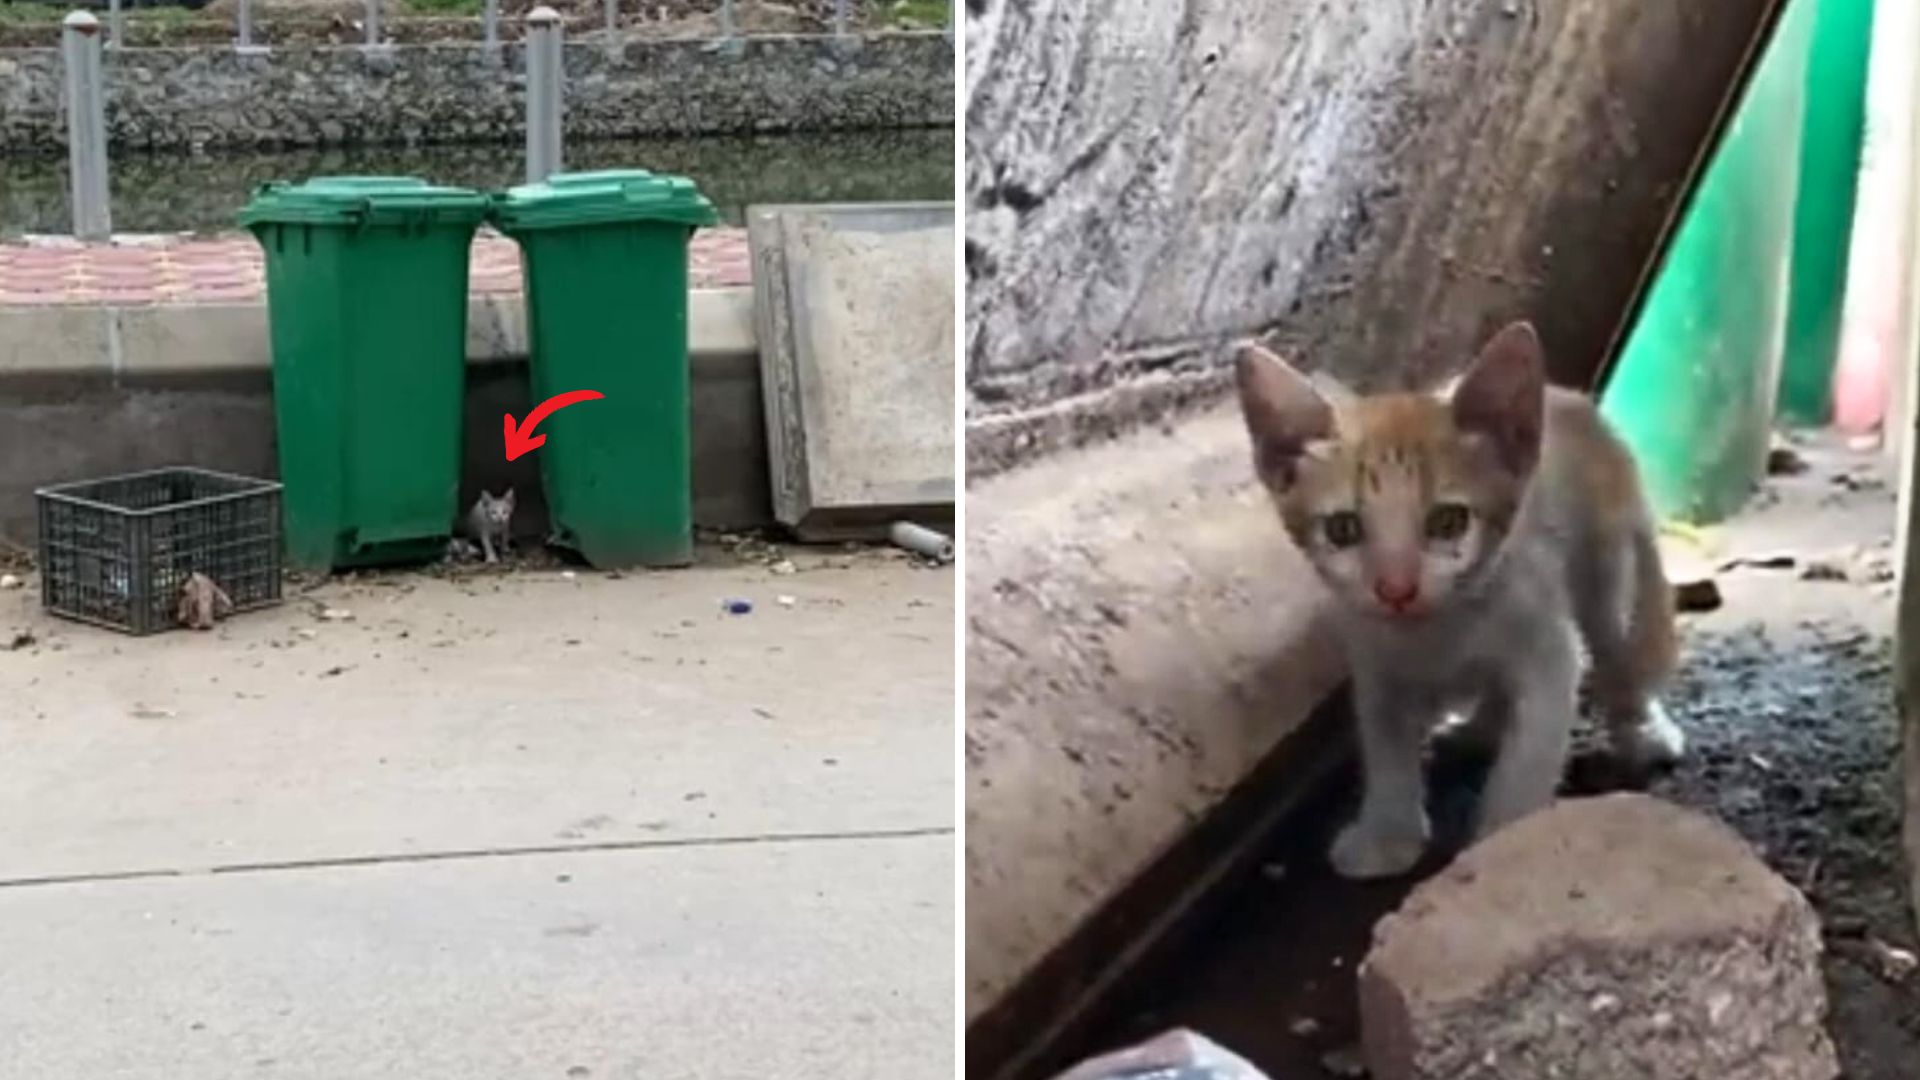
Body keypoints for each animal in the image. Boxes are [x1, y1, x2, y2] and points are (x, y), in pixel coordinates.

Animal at [1244, 317, 1681, 876]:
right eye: (1343, 529)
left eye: (1448, 522)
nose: (1396, 588)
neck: (1438, 631)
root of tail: (1575, 402)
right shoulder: (1375, 660)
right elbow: (1384, 743)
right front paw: (1389, 831)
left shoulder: (1546, 647)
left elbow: (1531, 751)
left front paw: (1505, 836)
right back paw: (1479, 726)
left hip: (1610, 571)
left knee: (1618, 651)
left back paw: (1642, 730)